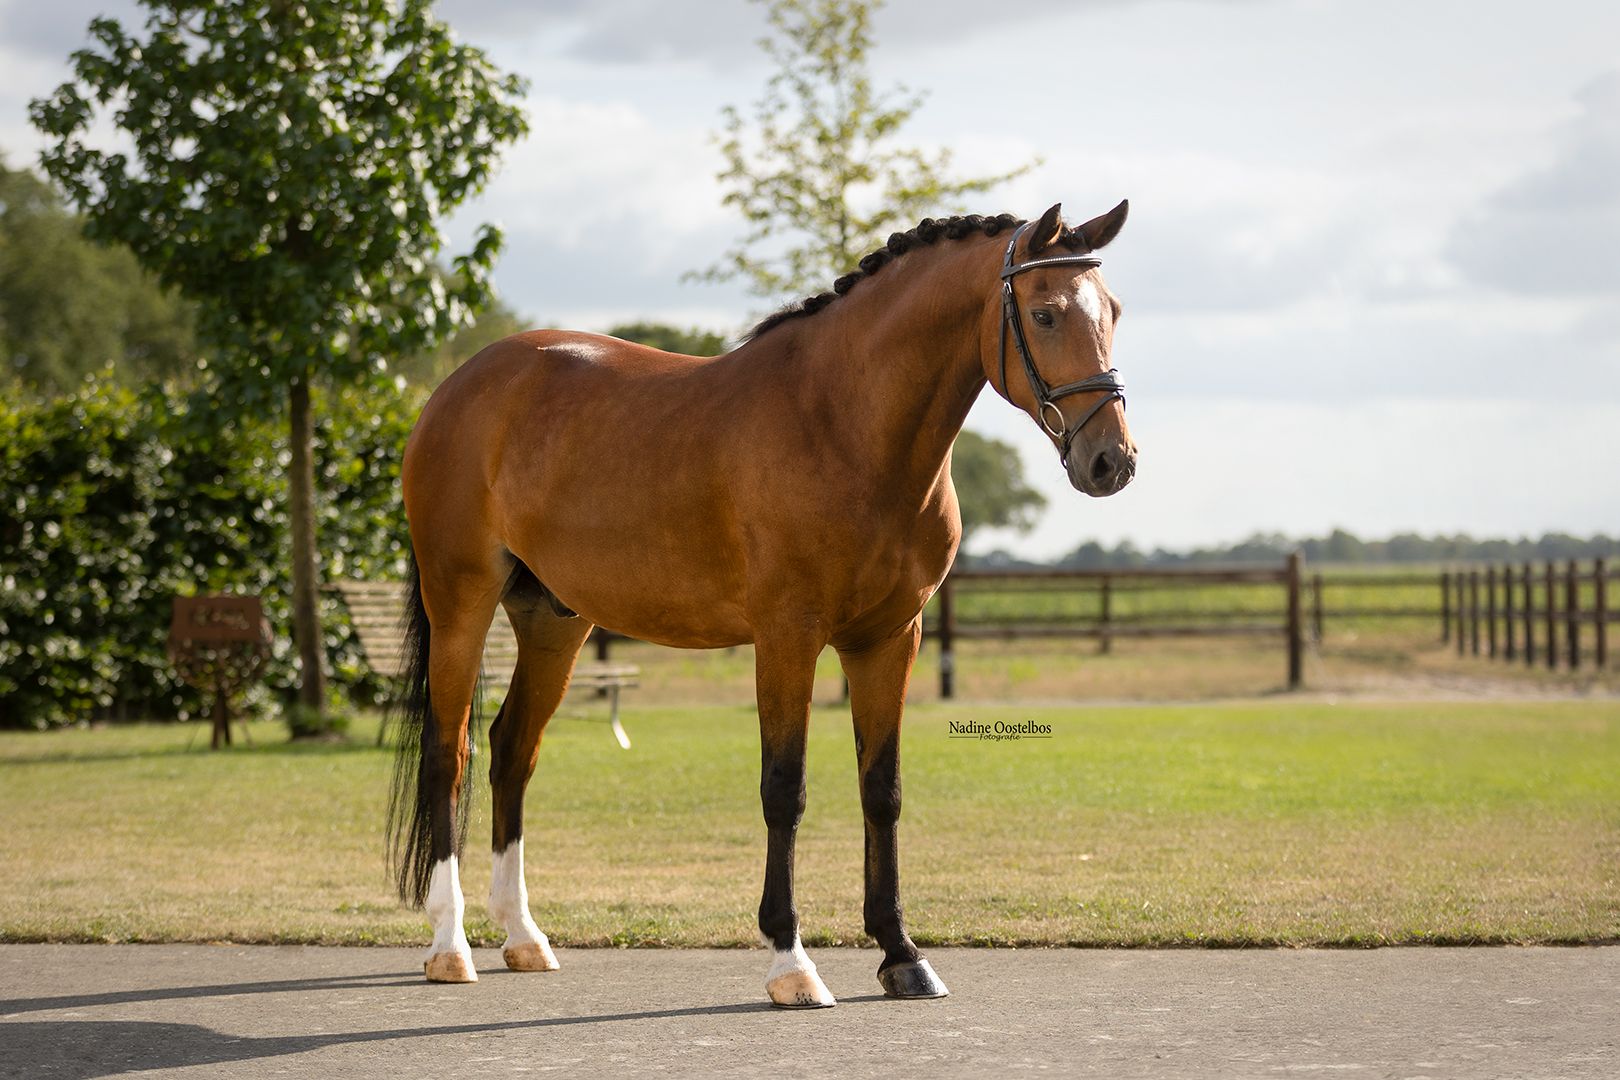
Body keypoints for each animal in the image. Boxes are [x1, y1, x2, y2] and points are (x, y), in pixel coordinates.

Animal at [386, 200, 1137, 1007]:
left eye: (1113, 311)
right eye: (1046, 312)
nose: (1112, 462)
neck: (842, 422)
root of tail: (460, 386)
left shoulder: (890, 639)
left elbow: (882, 790)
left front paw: (901, 954)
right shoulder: (788, 637)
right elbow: (785, 789)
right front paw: (790, 961)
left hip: (555, 620)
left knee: (510, 751)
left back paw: (524, 937)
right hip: (460, 602)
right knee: (448, 755)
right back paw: (450, 946)